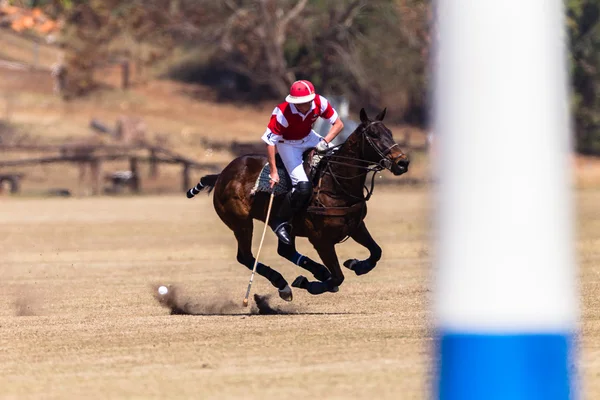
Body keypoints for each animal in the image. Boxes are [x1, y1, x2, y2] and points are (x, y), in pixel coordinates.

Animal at [190, 108, 410, 302]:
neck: (336, 184)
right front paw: (310, 284)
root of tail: (222, 174)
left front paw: (355, 264)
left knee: (284, 250)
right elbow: (338, 277)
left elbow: (376, 252)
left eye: (390, 133)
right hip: (240, 222)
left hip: (284, 226)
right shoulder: (321, 240)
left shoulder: (356, 226)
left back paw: (315, 272)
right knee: (245, 256)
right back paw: (286, 284)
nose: (403, 163)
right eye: (373, 135)